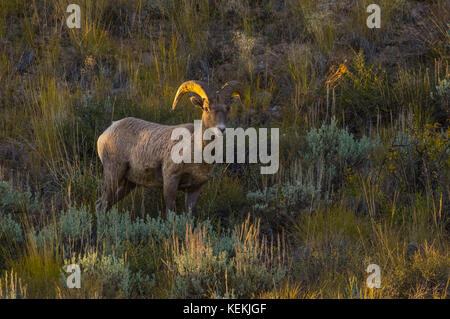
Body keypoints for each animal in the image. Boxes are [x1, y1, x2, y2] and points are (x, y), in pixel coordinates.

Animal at [95, 80, 243, 215]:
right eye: (206, 108)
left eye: (228, 108)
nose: (221, 129)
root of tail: (105, 134)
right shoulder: (170, 181)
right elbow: (170, 214)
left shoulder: (194, 189)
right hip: (113, 173)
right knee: (102, 205)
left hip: (128, 183)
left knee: (102, 204)